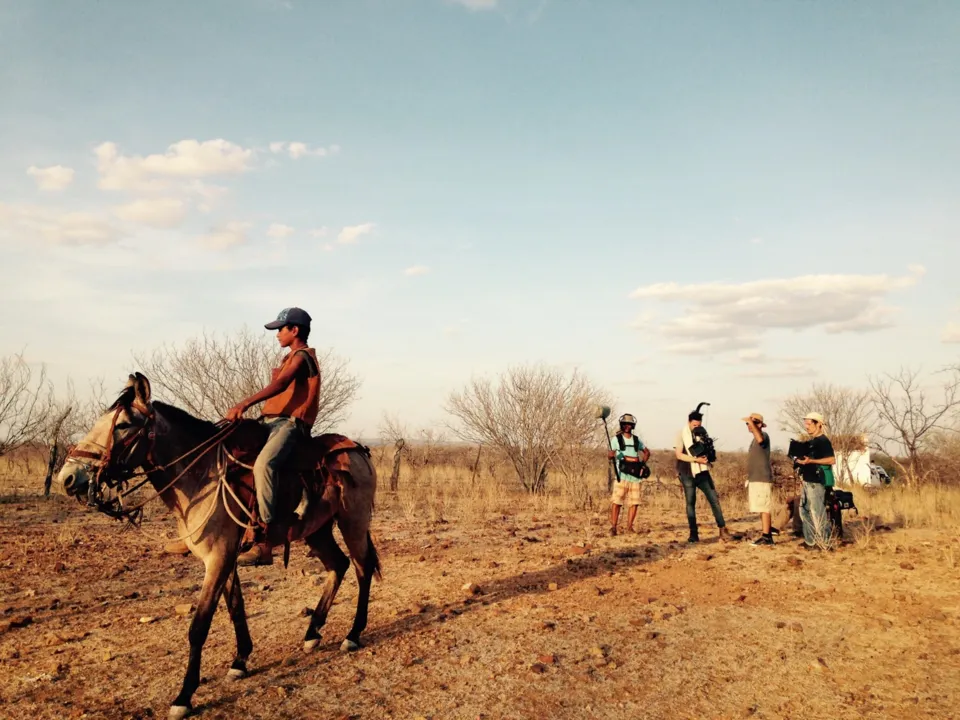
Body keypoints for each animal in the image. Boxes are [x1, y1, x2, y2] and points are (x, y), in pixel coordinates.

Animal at [54, 374, 380, 716]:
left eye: (124, 425)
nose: (68, 477)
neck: (201, 477)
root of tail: (359, 451)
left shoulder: (219, 558)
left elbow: (199, 626)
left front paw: (184, 697)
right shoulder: (225, 559)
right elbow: (235, 607)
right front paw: (240, 661)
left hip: (353, 522)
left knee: (363, 568)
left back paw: (353, 635)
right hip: (317, 530)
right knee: (338, 566)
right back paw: (313, 632)